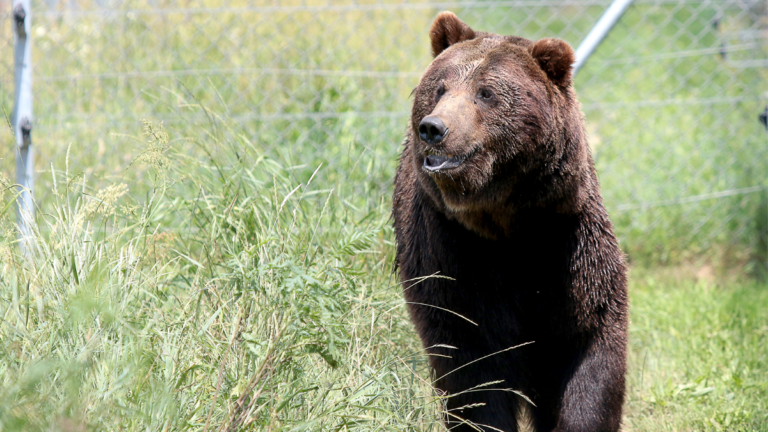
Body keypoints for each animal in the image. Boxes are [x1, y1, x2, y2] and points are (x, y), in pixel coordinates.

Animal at [392, 10, 628, 432]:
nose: (434, 128)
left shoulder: (566, 245)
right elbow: (473, 368)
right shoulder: (454, 254)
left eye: (485, 92)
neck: (508, 223)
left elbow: (588, 349)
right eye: (440, 88)